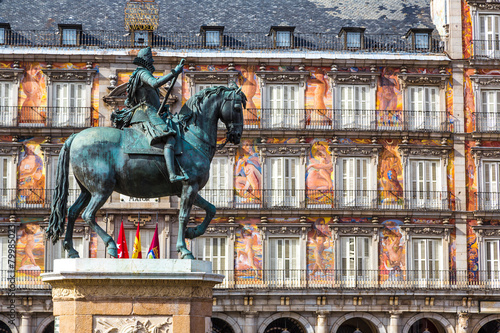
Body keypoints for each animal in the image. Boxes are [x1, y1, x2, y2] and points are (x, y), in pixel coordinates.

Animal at [47, 84, 246, 258]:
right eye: (237, 107)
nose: (237, 135)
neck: (193, 136)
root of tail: (75, 136)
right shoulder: (190, 186)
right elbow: (183, 216)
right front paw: (184, 250)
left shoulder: (187, 189)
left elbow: (211, 209)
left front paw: (192, 232)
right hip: (102, 188)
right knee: (88, 215)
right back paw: (111, 245)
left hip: (87, 189)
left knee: (72, 212)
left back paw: (71, 250)